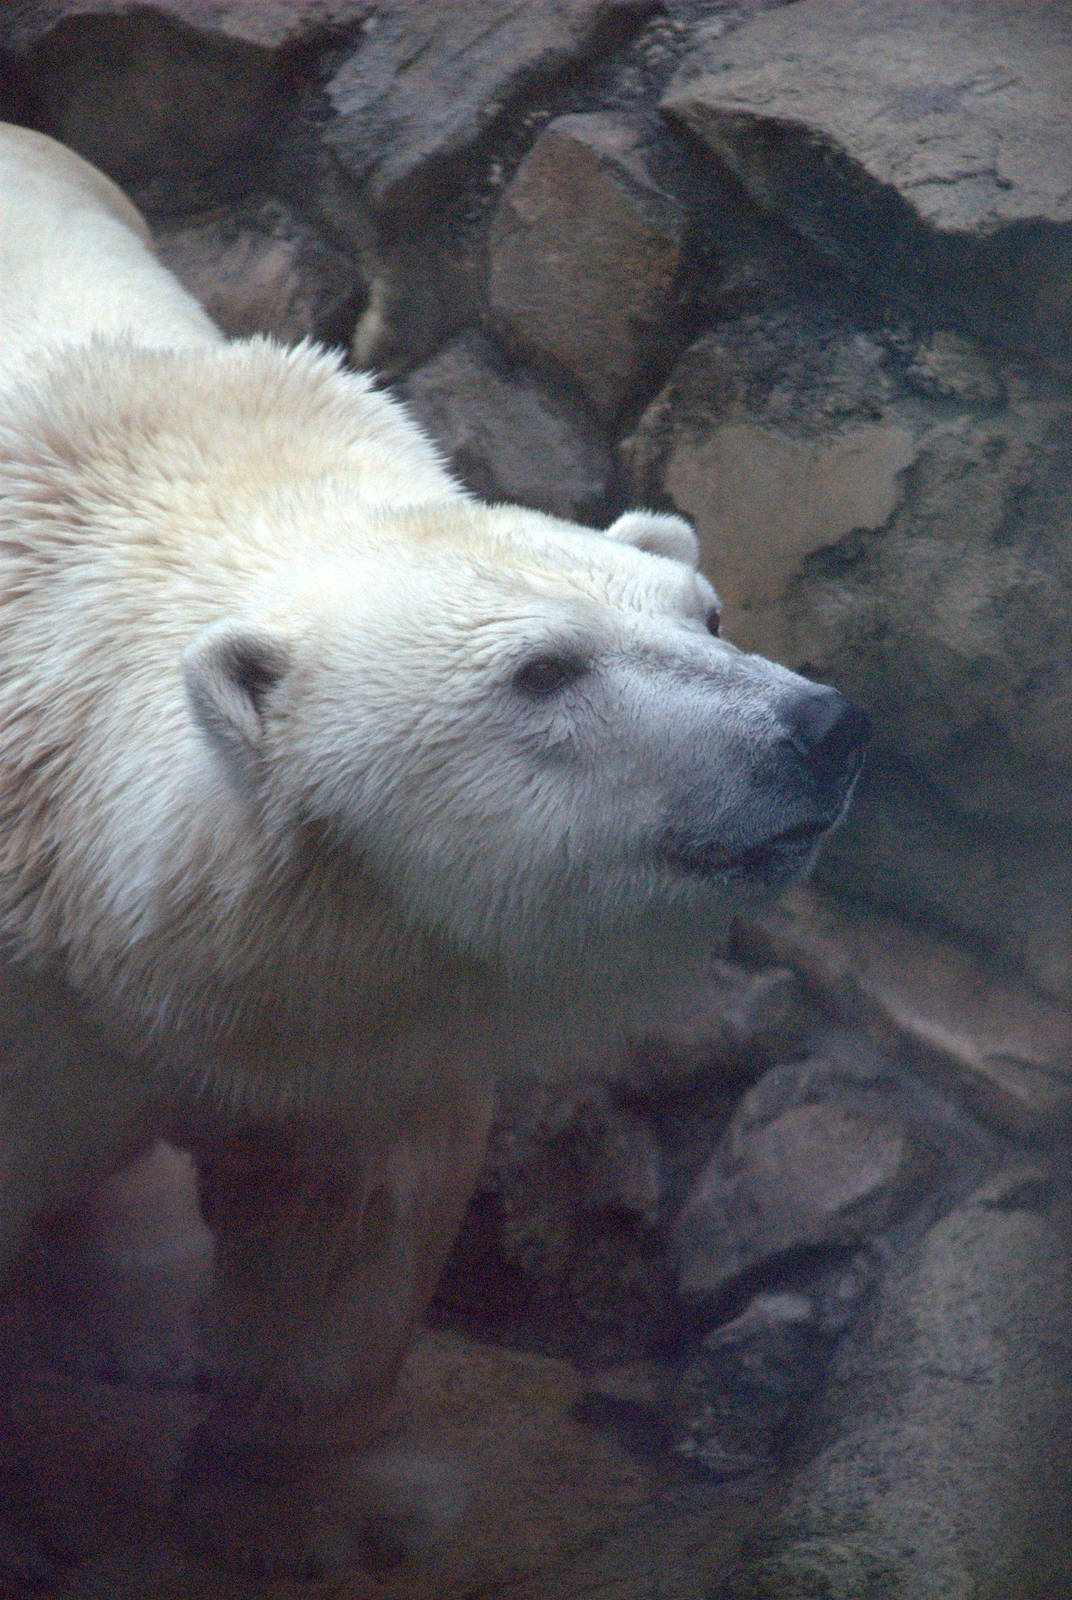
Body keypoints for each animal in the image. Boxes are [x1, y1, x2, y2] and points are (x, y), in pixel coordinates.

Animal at [0, 123, 868, 1577]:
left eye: (702, 611)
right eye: (544, 670)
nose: (819, 727)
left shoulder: (344, 1006)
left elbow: (347, 1225)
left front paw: (319, 1509)